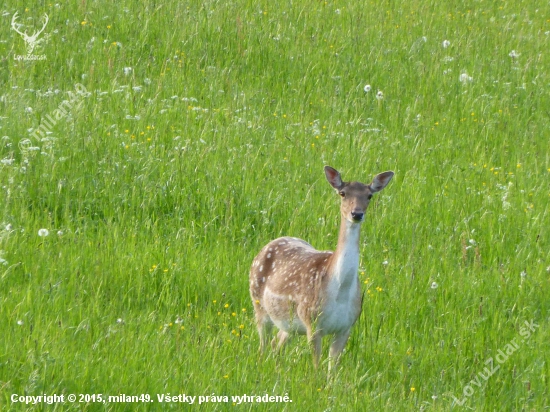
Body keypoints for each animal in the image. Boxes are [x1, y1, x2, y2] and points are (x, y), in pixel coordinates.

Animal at [248, 166, 394, 372]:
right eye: (342, 193)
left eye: (369, 195)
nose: (356, 214)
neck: (339, 292)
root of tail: (270, 243)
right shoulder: (313, 323)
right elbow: (317, 367)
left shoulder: (346, 327)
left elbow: (332, 371)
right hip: (258, 304)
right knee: (262, 346)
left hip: (289, 323)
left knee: (277, 344)